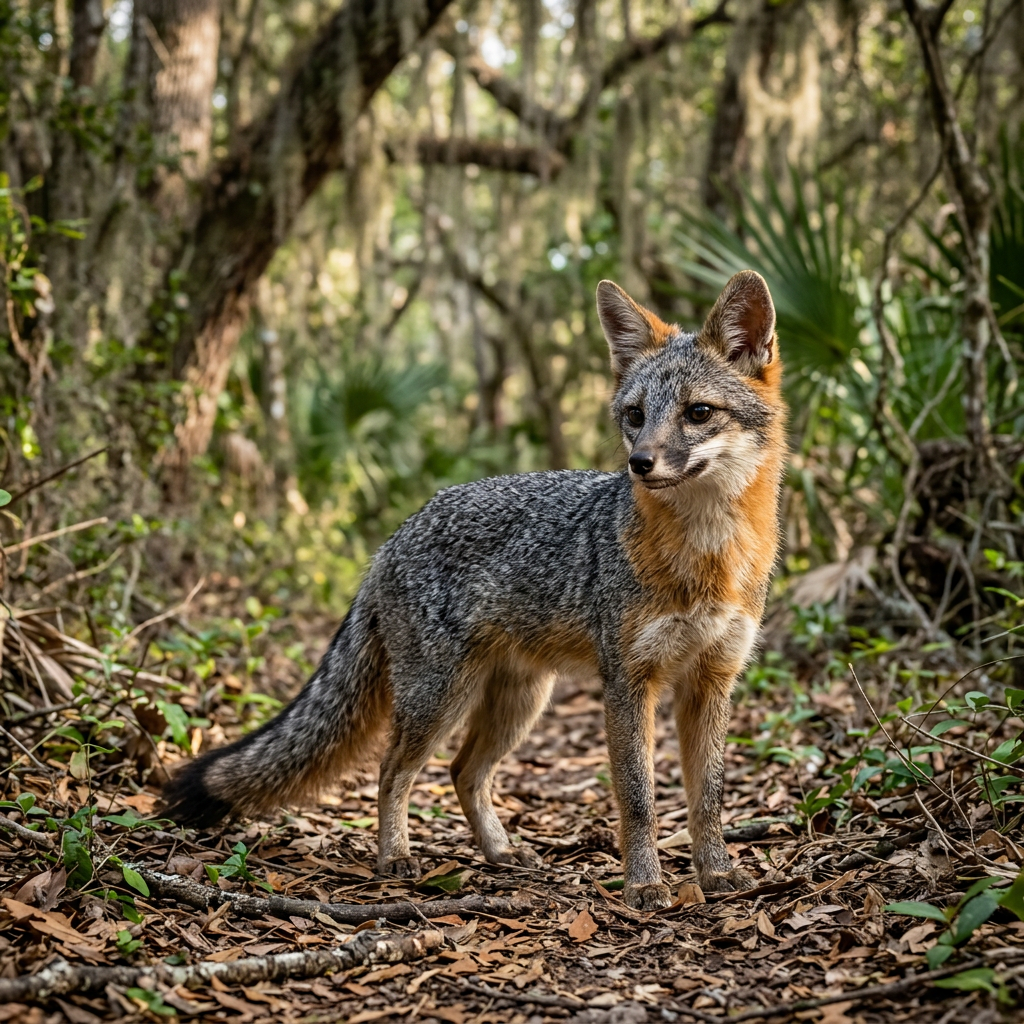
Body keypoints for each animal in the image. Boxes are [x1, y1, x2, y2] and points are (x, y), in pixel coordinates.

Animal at [163, 269, 786, 911]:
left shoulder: (712, 680)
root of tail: (394, 537)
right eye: (635, 415)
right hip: (442, 697)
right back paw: (396, 857)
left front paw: (716, 873)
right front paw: (644, 884)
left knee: (464, 771)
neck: (706, 557)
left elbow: (707, 797)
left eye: (698, 412)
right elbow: (638, 800)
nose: (639, 462)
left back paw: (499, 852)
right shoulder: (628, 683)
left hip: (519, 701)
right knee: (392, 769)